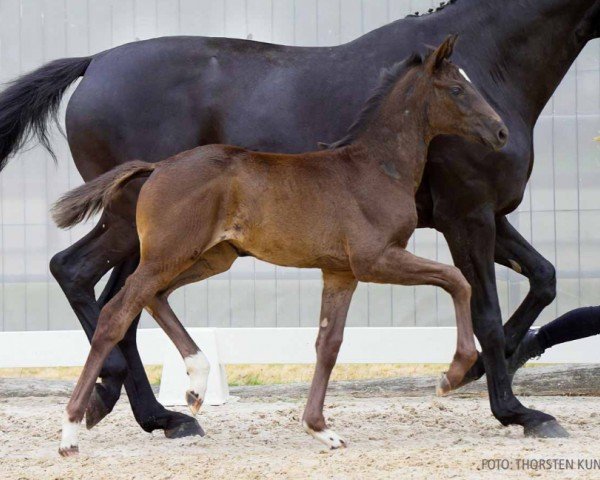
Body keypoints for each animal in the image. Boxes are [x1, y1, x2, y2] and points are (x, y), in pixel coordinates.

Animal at [54, 36, 508, 454]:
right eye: (458, 89)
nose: (501, 132)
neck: (376, 167)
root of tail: (157, 166)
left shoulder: (340, 272)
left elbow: (329, 344)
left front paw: (320, 428)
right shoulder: (376, 259)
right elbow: (457, 280)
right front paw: (452, 374)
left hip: (209, 258)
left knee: (155, 297)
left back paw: (196, 385)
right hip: (169, 254)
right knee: (116, 313)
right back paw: (72, 430)